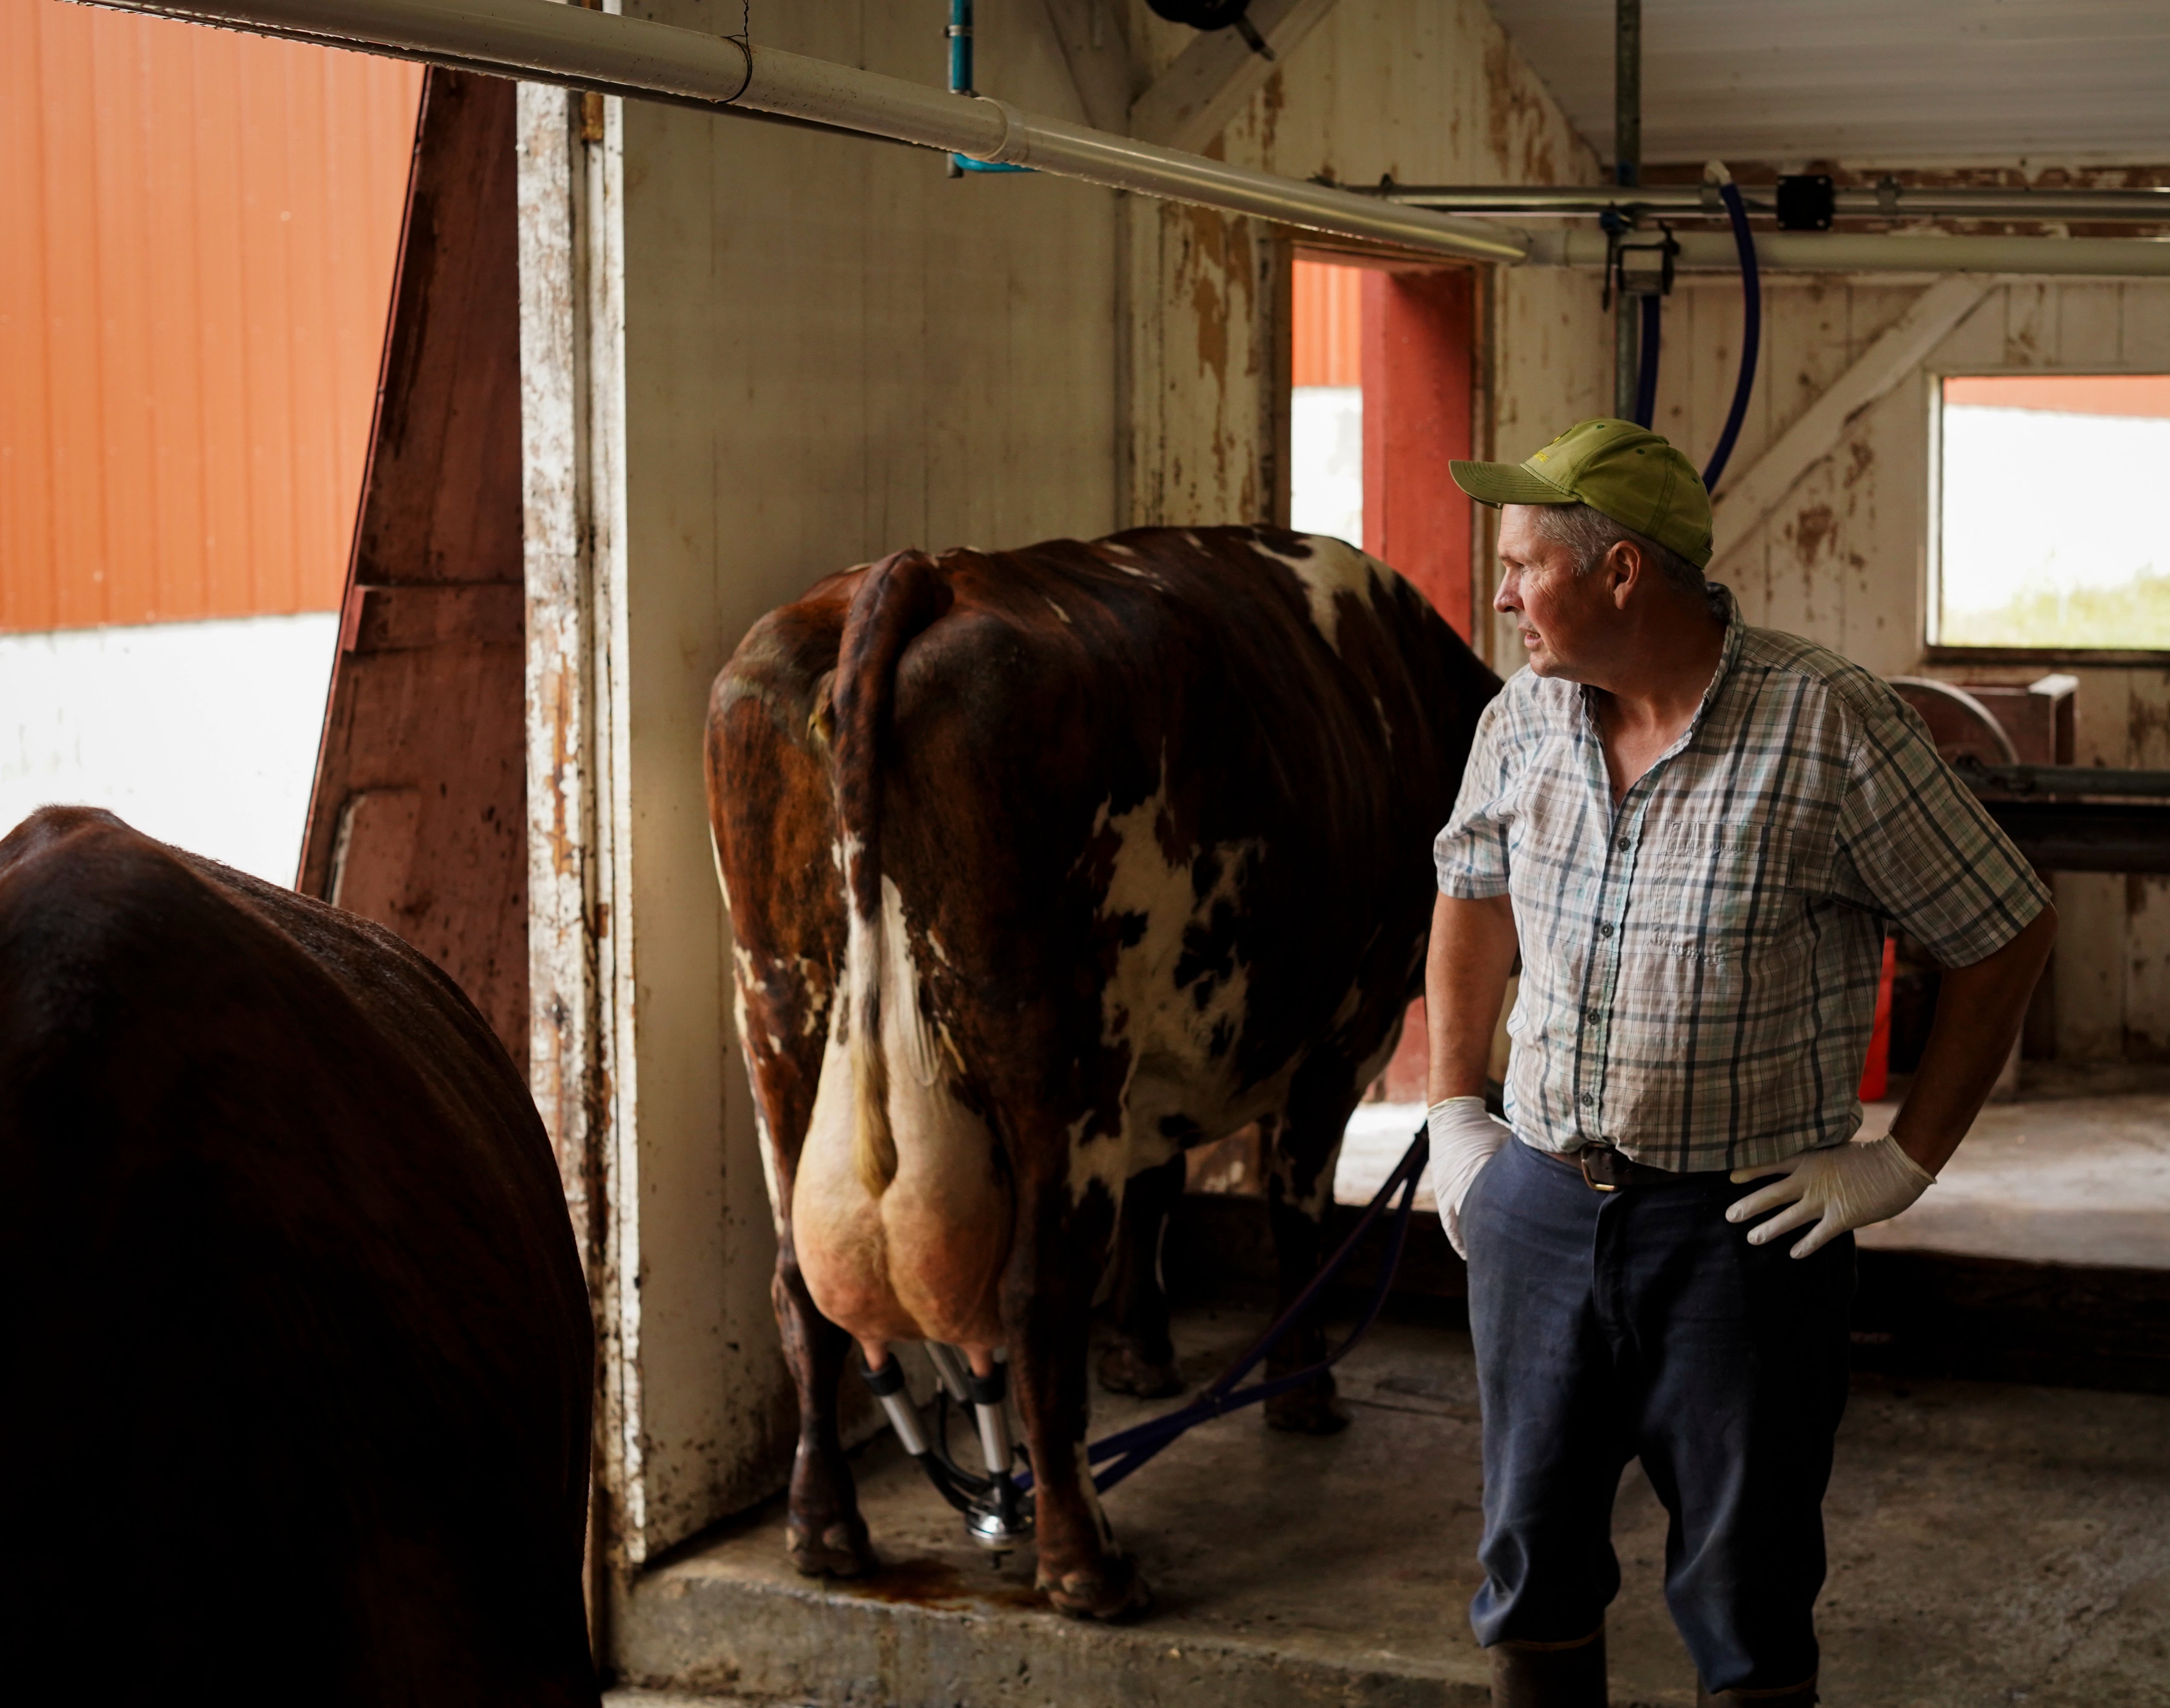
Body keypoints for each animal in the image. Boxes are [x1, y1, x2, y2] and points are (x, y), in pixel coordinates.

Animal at [707, 527, 1493, 1623]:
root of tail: (921, 572)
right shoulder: (1346, 1032)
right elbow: (1296, 1214)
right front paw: (1301, 1391)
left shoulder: (1158, 1055)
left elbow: (1158, 1181)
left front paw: (1142, 1354)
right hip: (1058, 1047)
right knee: (1038, 1295)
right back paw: (1087, 1564)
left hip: (777, 1008)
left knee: (798, 1286)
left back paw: (824, 1530)